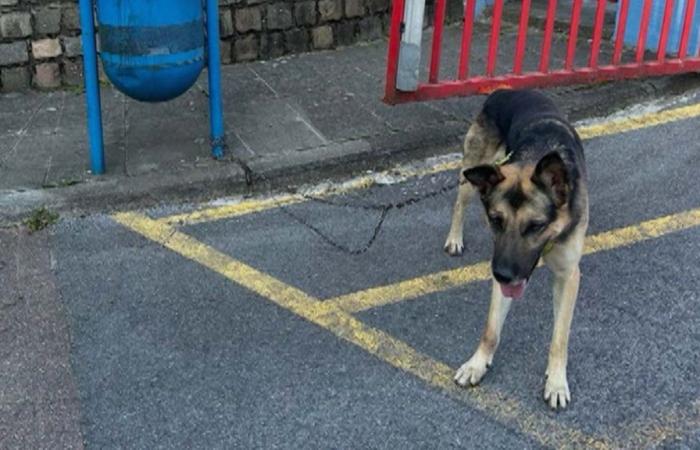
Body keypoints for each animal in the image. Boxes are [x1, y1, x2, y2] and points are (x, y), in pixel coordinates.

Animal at [446, 89, 588, 410]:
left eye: (535, 225)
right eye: (495, 220)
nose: (502, 274)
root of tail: (508, 88)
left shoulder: (568, 276)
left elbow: (559, 337)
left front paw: (556, 381)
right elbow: (490, 330)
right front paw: (477, 364)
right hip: (472, 173)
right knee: (459, 202)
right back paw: (454, 238)